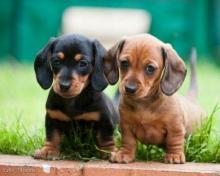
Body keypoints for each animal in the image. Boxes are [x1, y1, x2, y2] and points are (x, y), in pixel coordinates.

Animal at [104, 34, 204, 164]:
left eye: (150, 68)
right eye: (124, 63)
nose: (129, 89)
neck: (144, 103)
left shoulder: (175, 127)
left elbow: (174, 140)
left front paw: (174, 155)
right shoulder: (126, 126)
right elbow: (128, 141)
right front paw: (124, 154)